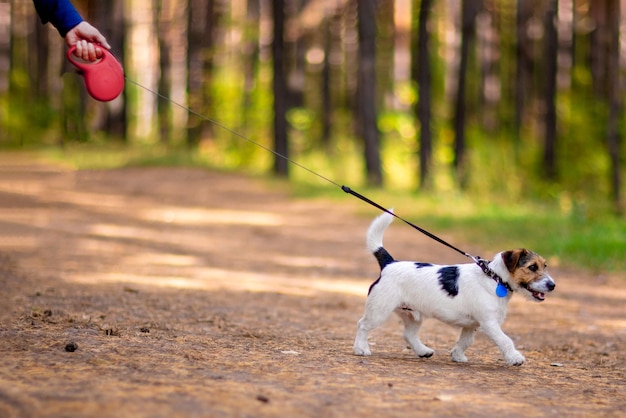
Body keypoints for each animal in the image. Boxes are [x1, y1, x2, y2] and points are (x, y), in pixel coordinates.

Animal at [354, 212, 552, 366]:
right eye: (532, 267)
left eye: (545, 266)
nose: (552, 285)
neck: (494, 277)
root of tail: (389, 263)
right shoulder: (489, 323)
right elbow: (506, 340)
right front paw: (515, 358)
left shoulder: (471, 326)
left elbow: (465, 342)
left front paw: (457, 356)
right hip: (379, 310)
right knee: (362, 325)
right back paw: (360, 348)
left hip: (412, 314)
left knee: (408, 334)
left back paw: (423, 350)